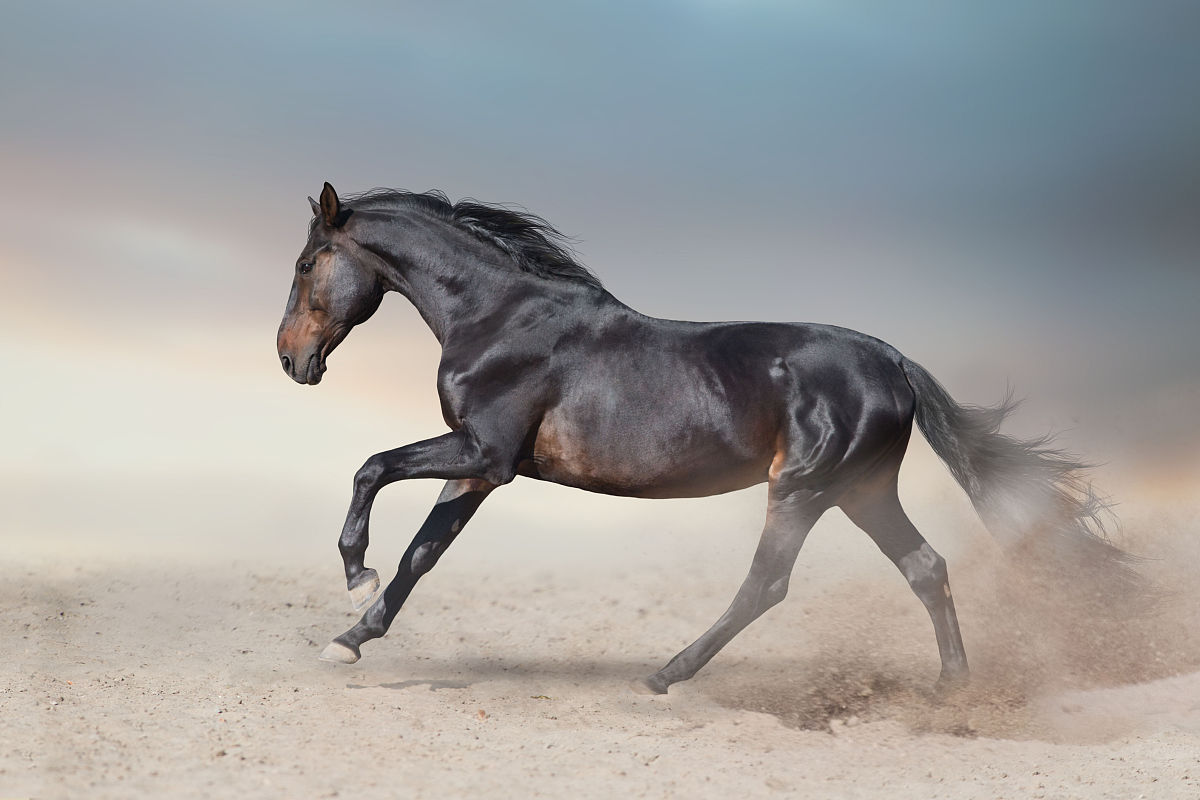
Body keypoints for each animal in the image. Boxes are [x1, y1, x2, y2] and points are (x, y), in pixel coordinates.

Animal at [276, 182, 1137, 694]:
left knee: (768, 584)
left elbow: (371, 468)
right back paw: (953, 690)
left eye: (309, 261)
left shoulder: (484, 453)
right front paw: (352, 637)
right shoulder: (482, 469)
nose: (290, 360)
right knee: (925, 567)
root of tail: (892, 362)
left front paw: (355, 575)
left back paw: (666, 675)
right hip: (861, 490)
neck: (502, 316)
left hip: (803, 488)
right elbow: (424, 553)